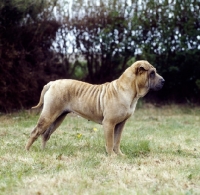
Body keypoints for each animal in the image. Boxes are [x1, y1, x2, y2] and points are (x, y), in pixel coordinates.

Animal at [25, 60, 165, 156]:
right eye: (152, 73)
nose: (163, 80)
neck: (128, 90)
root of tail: (52, 83)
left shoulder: (120, 124)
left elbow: (117, 141)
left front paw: (119, 155)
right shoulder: (109, 123)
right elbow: (110, 141)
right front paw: (112, 156)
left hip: (58, 117)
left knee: (45, 135)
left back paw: (43, 151)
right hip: (49, 115)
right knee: (35, 132)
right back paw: (27, 151)